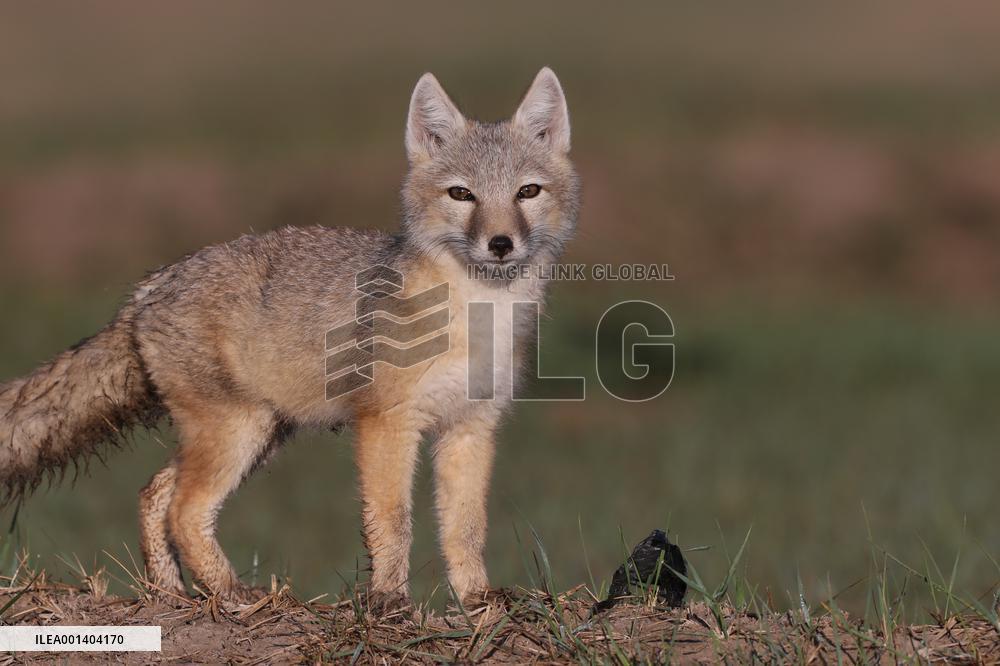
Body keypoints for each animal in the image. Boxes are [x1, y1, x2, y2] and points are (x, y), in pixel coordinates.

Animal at [0, 68, 579, 606]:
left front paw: (479, 602)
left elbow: (465, 529)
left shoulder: (471, 427)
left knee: (153, 495)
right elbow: (392, 521)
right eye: (462, 194)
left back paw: (173, 595)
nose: (500, 244)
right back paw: (232, 595)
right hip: (240, 430)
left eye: (527, 192)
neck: (478, 315)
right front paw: (389, 603)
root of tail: (152, 285)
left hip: (257, 434)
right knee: (184, 510)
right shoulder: (386, 423)